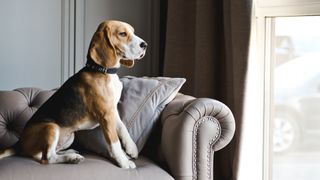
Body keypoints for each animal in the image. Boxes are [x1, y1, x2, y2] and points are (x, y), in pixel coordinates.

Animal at [0, 20, 148, 169]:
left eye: (133, 32)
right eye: (122, 34)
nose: (145, 45)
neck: (102, 70)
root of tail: (19, 143)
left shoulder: (112, 111)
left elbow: (123, 128)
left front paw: (131, 148)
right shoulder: (106, 115)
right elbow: (114, 143)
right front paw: (124, 162)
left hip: (70, 136)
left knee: (42, 154)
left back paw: (70, 152)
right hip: (51, 127)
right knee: (46, 158)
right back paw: (72, 157)